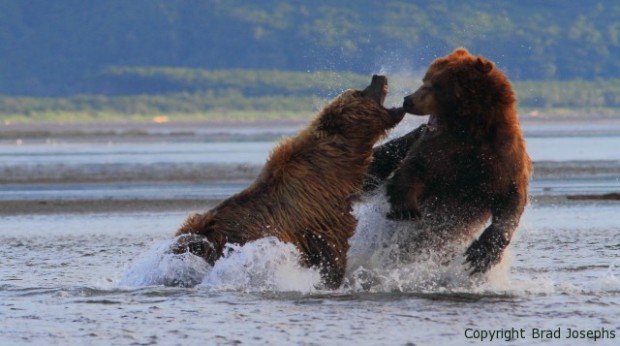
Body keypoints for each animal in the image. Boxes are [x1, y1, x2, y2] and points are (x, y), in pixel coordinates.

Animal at [172, 75, 404, 290]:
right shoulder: (319, 207)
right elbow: (333, 249)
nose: (377, 76)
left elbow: (375, 171)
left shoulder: (348, 178)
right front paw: (332, 279)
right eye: (360, 92)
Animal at [364, 48, 532, 276]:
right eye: (425, 79)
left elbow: (511, 199)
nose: (408, 100)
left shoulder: (503, 157)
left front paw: (481, 255)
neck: (469, 130)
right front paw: (406, 207)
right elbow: (413, 169)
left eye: (437, 84)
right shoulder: (438, 148)